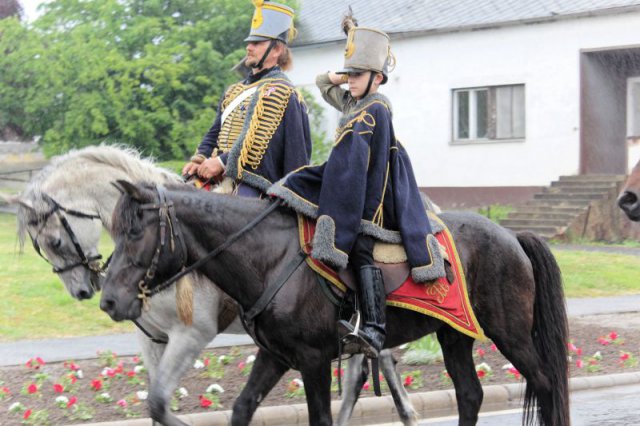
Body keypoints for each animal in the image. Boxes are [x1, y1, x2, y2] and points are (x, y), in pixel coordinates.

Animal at [101, 181, 568, 424]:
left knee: (544, 383)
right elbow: (241, 409)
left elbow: (321, 419)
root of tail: (513, 236)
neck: (270, 257)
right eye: (113, 230)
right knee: (470, 394)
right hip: (455, 335)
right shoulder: (275, 356)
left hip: (511, 333)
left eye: (135, 231)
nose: (108, 300)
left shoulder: (312, 360)